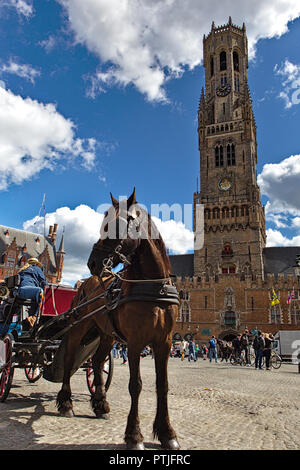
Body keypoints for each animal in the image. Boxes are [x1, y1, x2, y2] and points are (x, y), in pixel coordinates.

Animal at [55, 190, 179, 452]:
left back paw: (100, 404)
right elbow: (136, 385)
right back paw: (66, 403)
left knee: (97, 361)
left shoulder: (164, 341)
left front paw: (167, 433)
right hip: (79, 327)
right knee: (70, 358)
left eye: (113, 226)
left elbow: (162, 385)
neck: (154, 285)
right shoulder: (135, 342)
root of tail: (87, 282)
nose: (91, 262)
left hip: (106, 335)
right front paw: (134, 436)